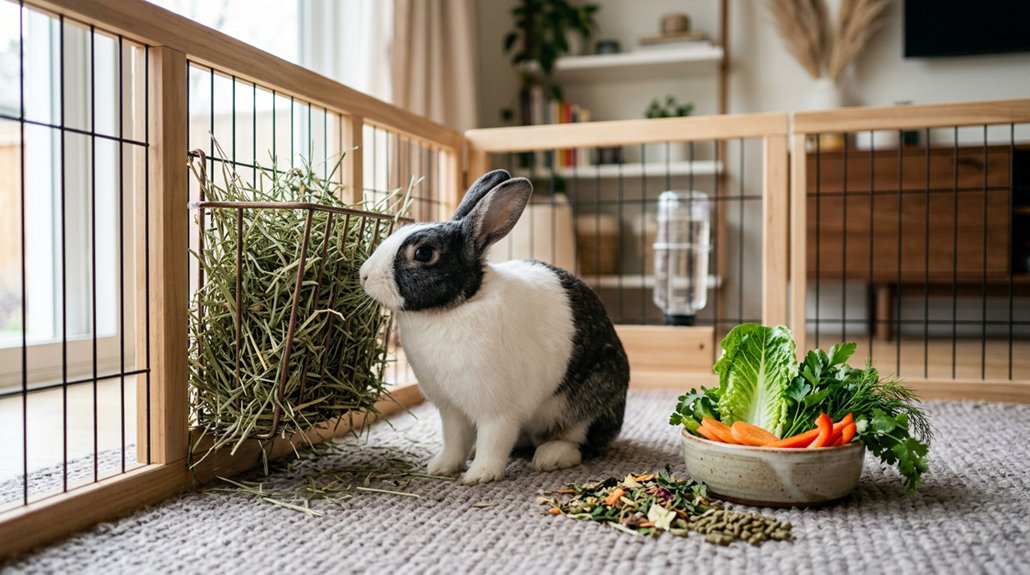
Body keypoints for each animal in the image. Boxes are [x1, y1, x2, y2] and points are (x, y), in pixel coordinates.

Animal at [359, 169, 629, 485]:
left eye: (423, 254)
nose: (364, 275)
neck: (454, 307)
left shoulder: (496, 410)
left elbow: (494, 440)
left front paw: (479, 476)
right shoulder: (451, 411)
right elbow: (455, 440)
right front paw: (440, 467)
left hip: (584, 406)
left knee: (582, 444)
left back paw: (550, 457)